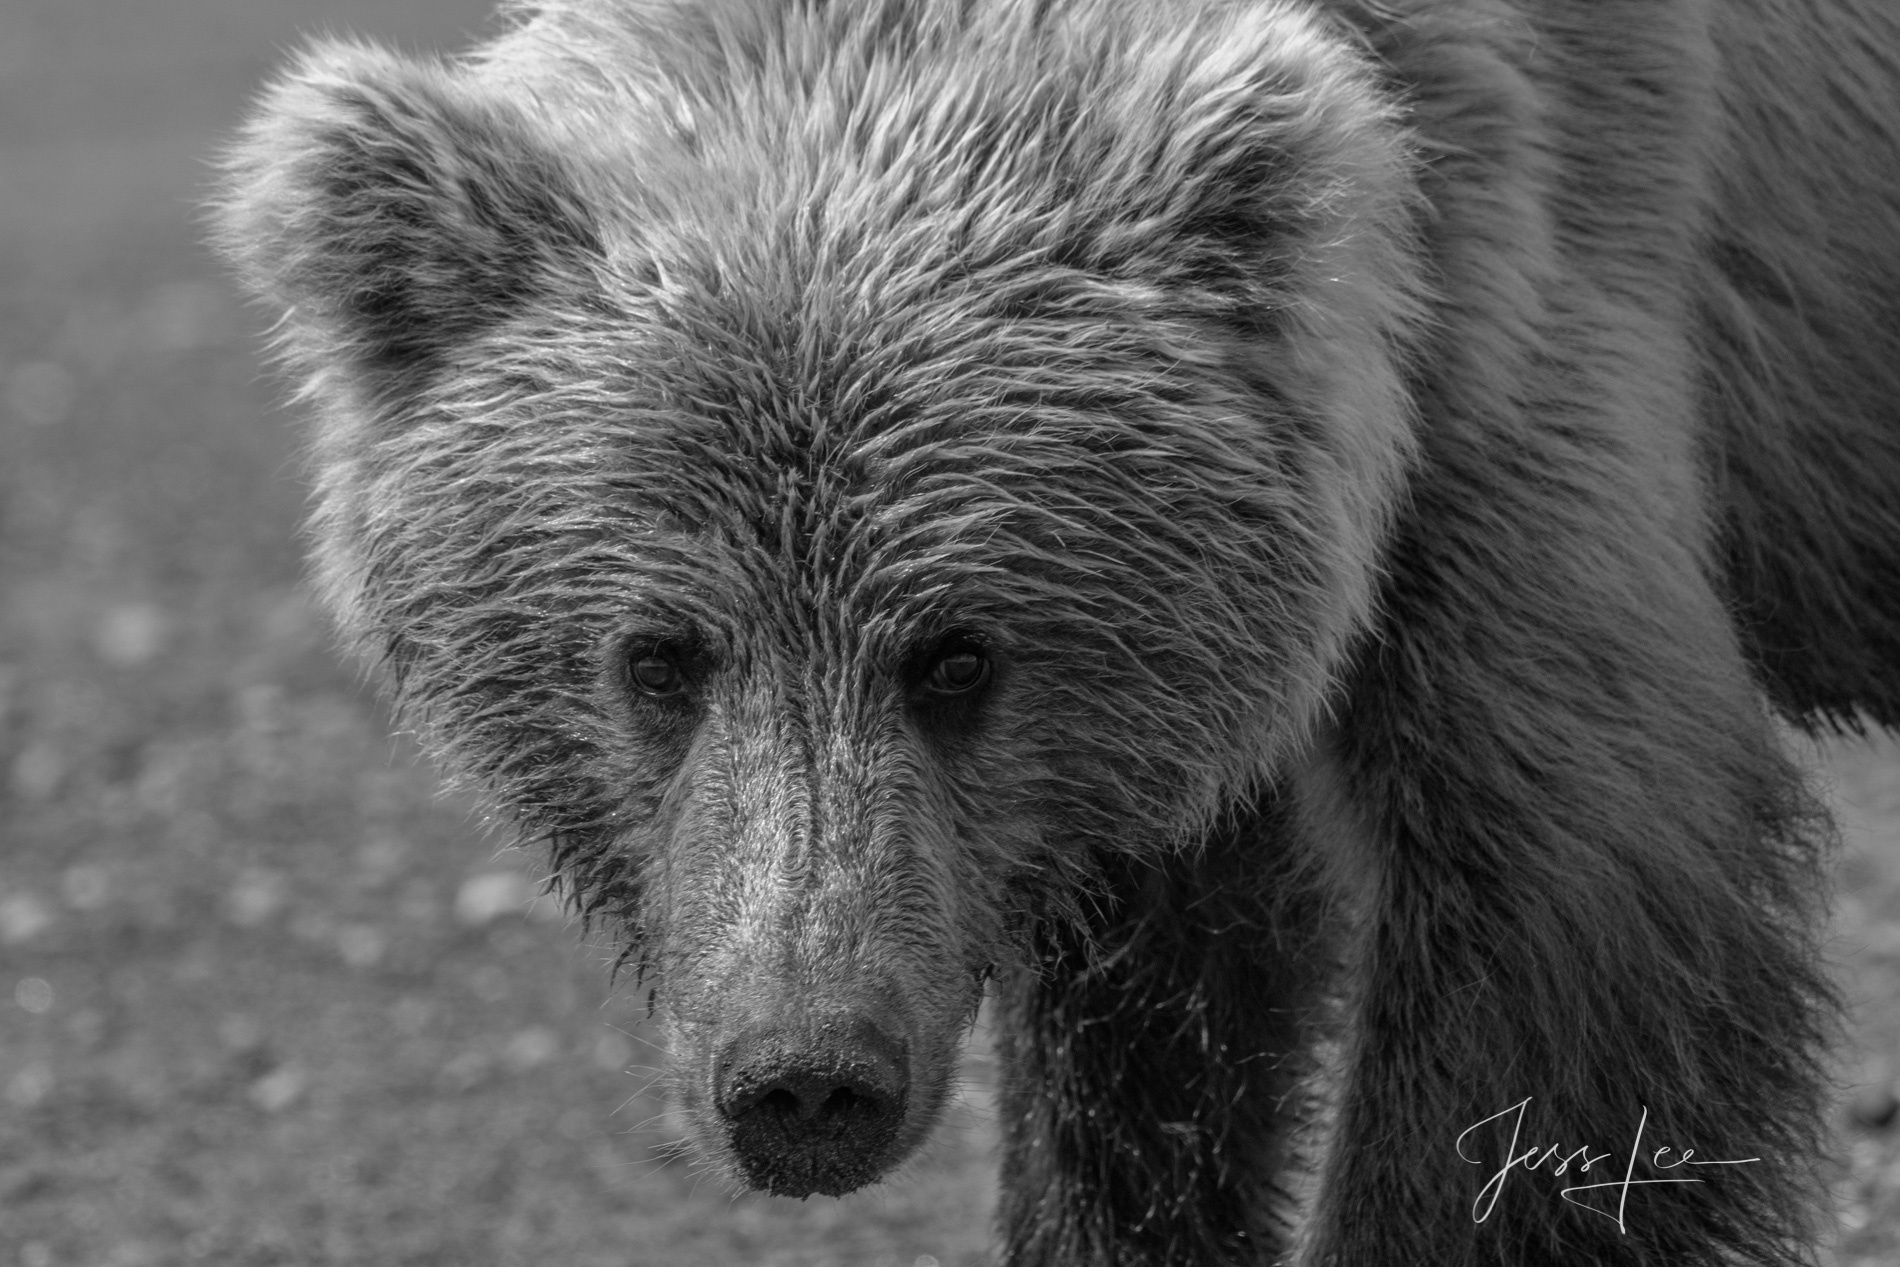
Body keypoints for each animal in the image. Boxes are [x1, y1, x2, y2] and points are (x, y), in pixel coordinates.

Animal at [215, 0, 1900, 1261]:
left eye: (958, 653)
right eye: (659, 654)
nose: (804, 1076)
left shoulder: (1509, 334)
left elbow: (1562, 902)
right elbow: (1150, 1033)